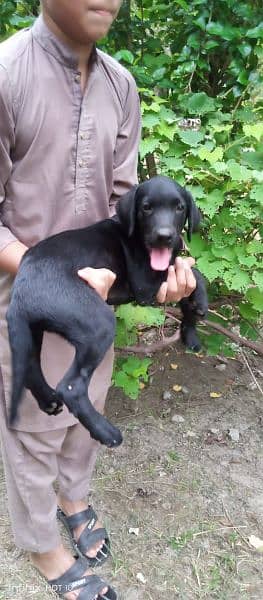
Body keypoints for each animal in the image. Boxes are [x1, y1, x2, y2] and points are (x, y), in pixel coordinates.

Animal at [6, 173, 208, 446]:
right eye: (146, 208)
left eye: (180, 208)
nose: (164, 236)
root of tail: (21, 286)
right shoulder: (145, 284)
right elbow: (192, 271)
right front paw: (200, 300)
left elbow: (186, 276)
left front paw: (191, 330)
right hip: (98, 324)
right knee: (71, 386)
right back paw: (106, 432)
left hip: (31, 329)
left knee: (30, 367)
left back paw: (48, 401)